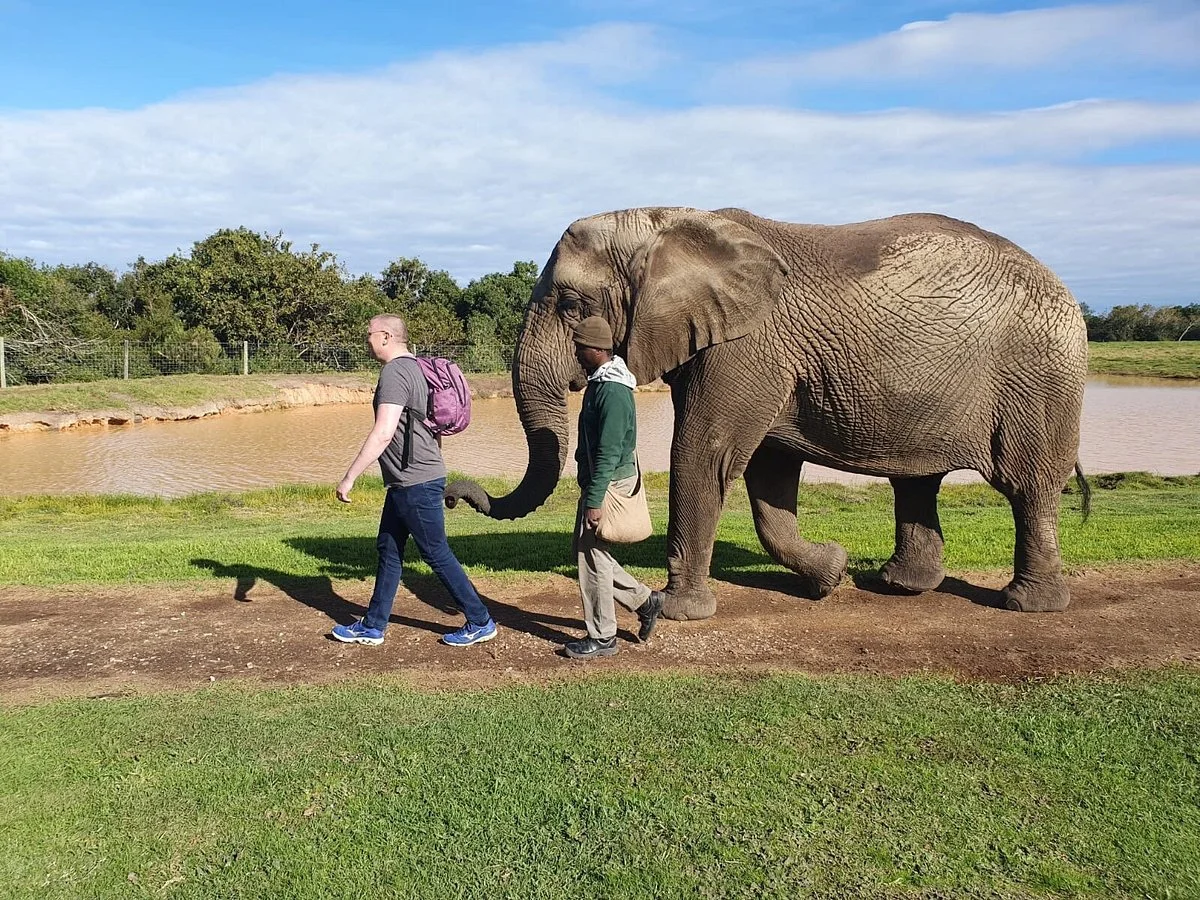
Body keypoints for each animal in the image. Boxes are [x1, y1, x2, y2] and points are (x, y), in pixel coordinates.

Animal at [446, 207, 1090, 619]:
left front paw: (677, 613)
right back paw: (899, 587)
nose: (453, 493)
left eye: (571, 304)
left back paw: (1028, 605)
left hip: (1041, 377)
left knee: (1028, 486)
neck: (659, 221)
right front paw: (831, 573)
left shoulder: (748, 345)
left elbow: (704, 453)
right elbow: (768, 474)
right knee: (917, 482)